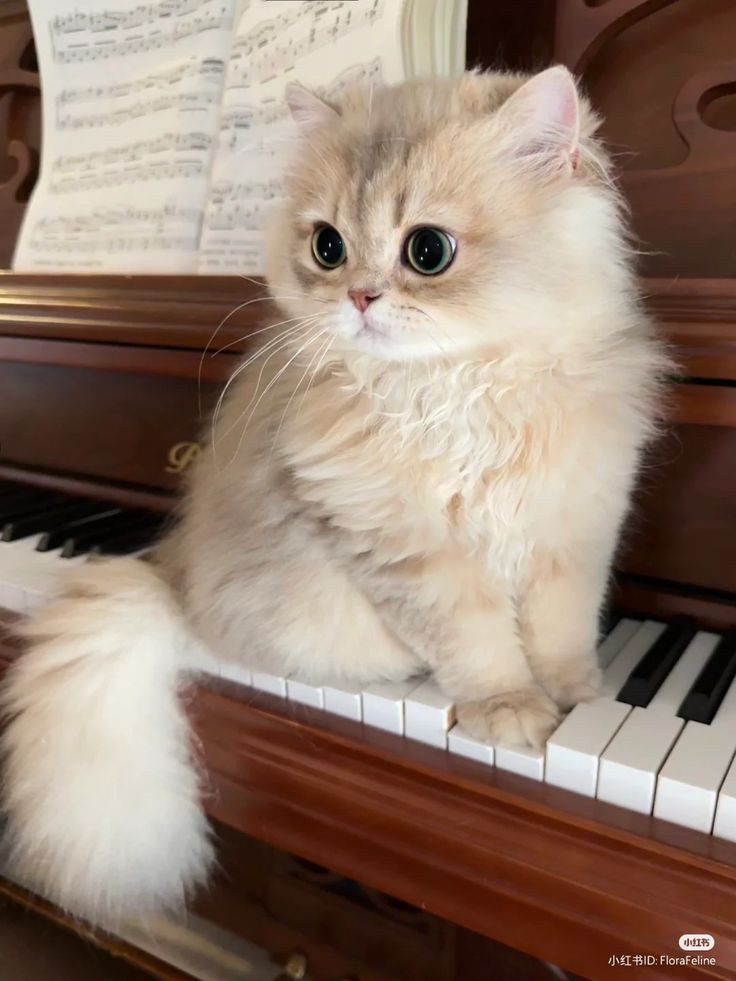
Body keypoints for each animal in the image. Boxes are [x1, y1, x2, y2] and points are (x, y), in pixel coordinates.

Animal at [0, 69, 668, 928]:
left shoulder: (574, 529)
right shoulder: (409, 550)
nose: (359, 297)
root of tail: (173, 578)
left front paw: (577, 697)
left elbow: (561, 631)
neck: (459, 387)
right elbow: (482, 642)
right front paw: (512, 710)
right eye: (328, 246)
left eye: (428, 250)